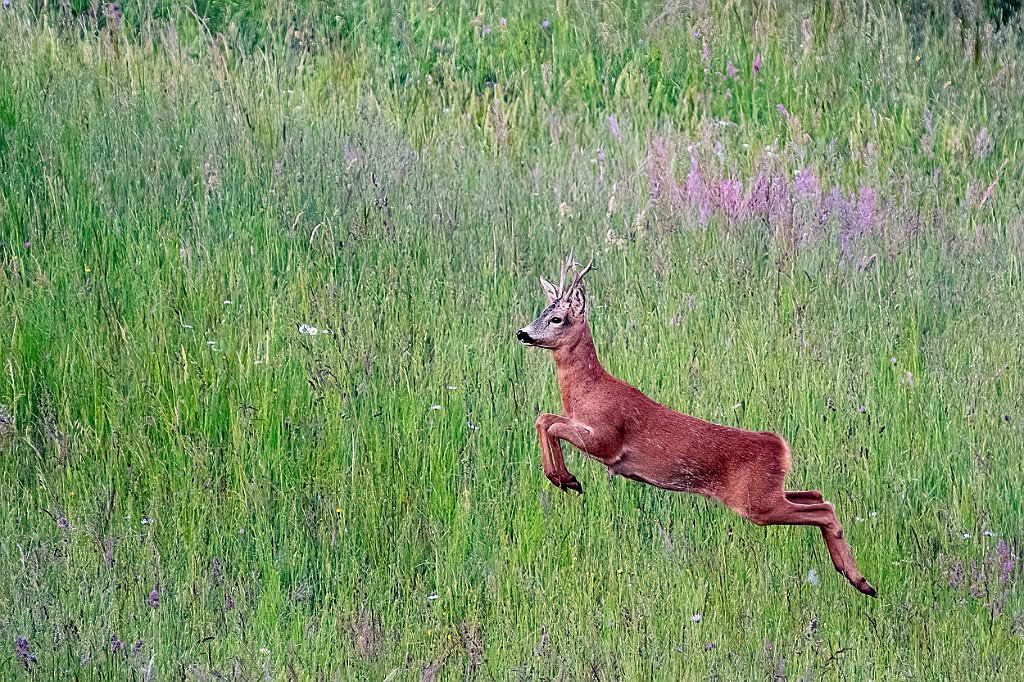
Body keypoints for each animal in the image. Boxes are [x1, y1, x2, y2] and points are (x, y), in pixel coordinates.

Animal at [516, 251, 876, 593]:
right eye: (540, 312)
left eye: (557, 318)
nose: (522, 333)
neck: (588, 391)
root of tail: (779, 446)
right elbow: (544, 418)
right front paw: (563, 479)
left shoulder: (607, 440)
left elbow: (551, 423)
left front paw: (566, 479)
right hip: (768, 494)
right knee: (817, 495)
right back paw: (857, 578)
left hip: (756, 503)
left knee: (824, 509)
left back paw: (860, 580)